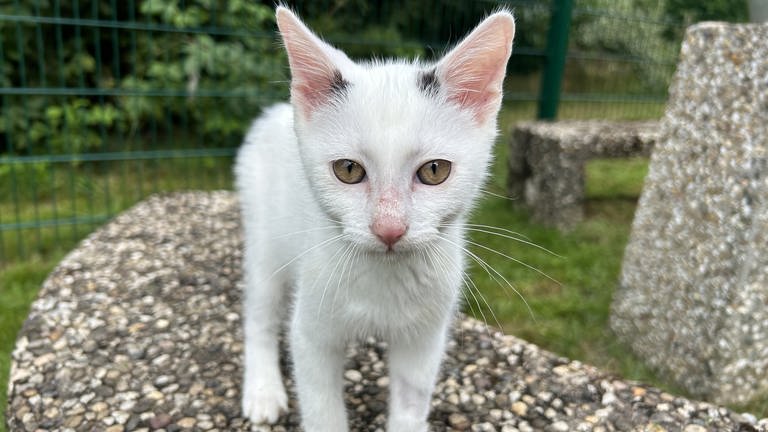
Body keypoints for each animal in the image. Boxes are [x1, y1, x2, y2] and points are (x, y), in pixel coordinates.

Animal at [238, 7, 516, 432]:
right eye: (348, 169)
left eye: (434, 170)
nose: (389, 228)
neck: (385, 279)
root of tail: (276, 113)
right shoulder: (312, 333)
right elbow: (322, 410)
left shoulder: (425, 338)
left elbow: (410, 404)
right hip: (264, 237)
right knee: (260, 313)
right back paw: (263, 390)